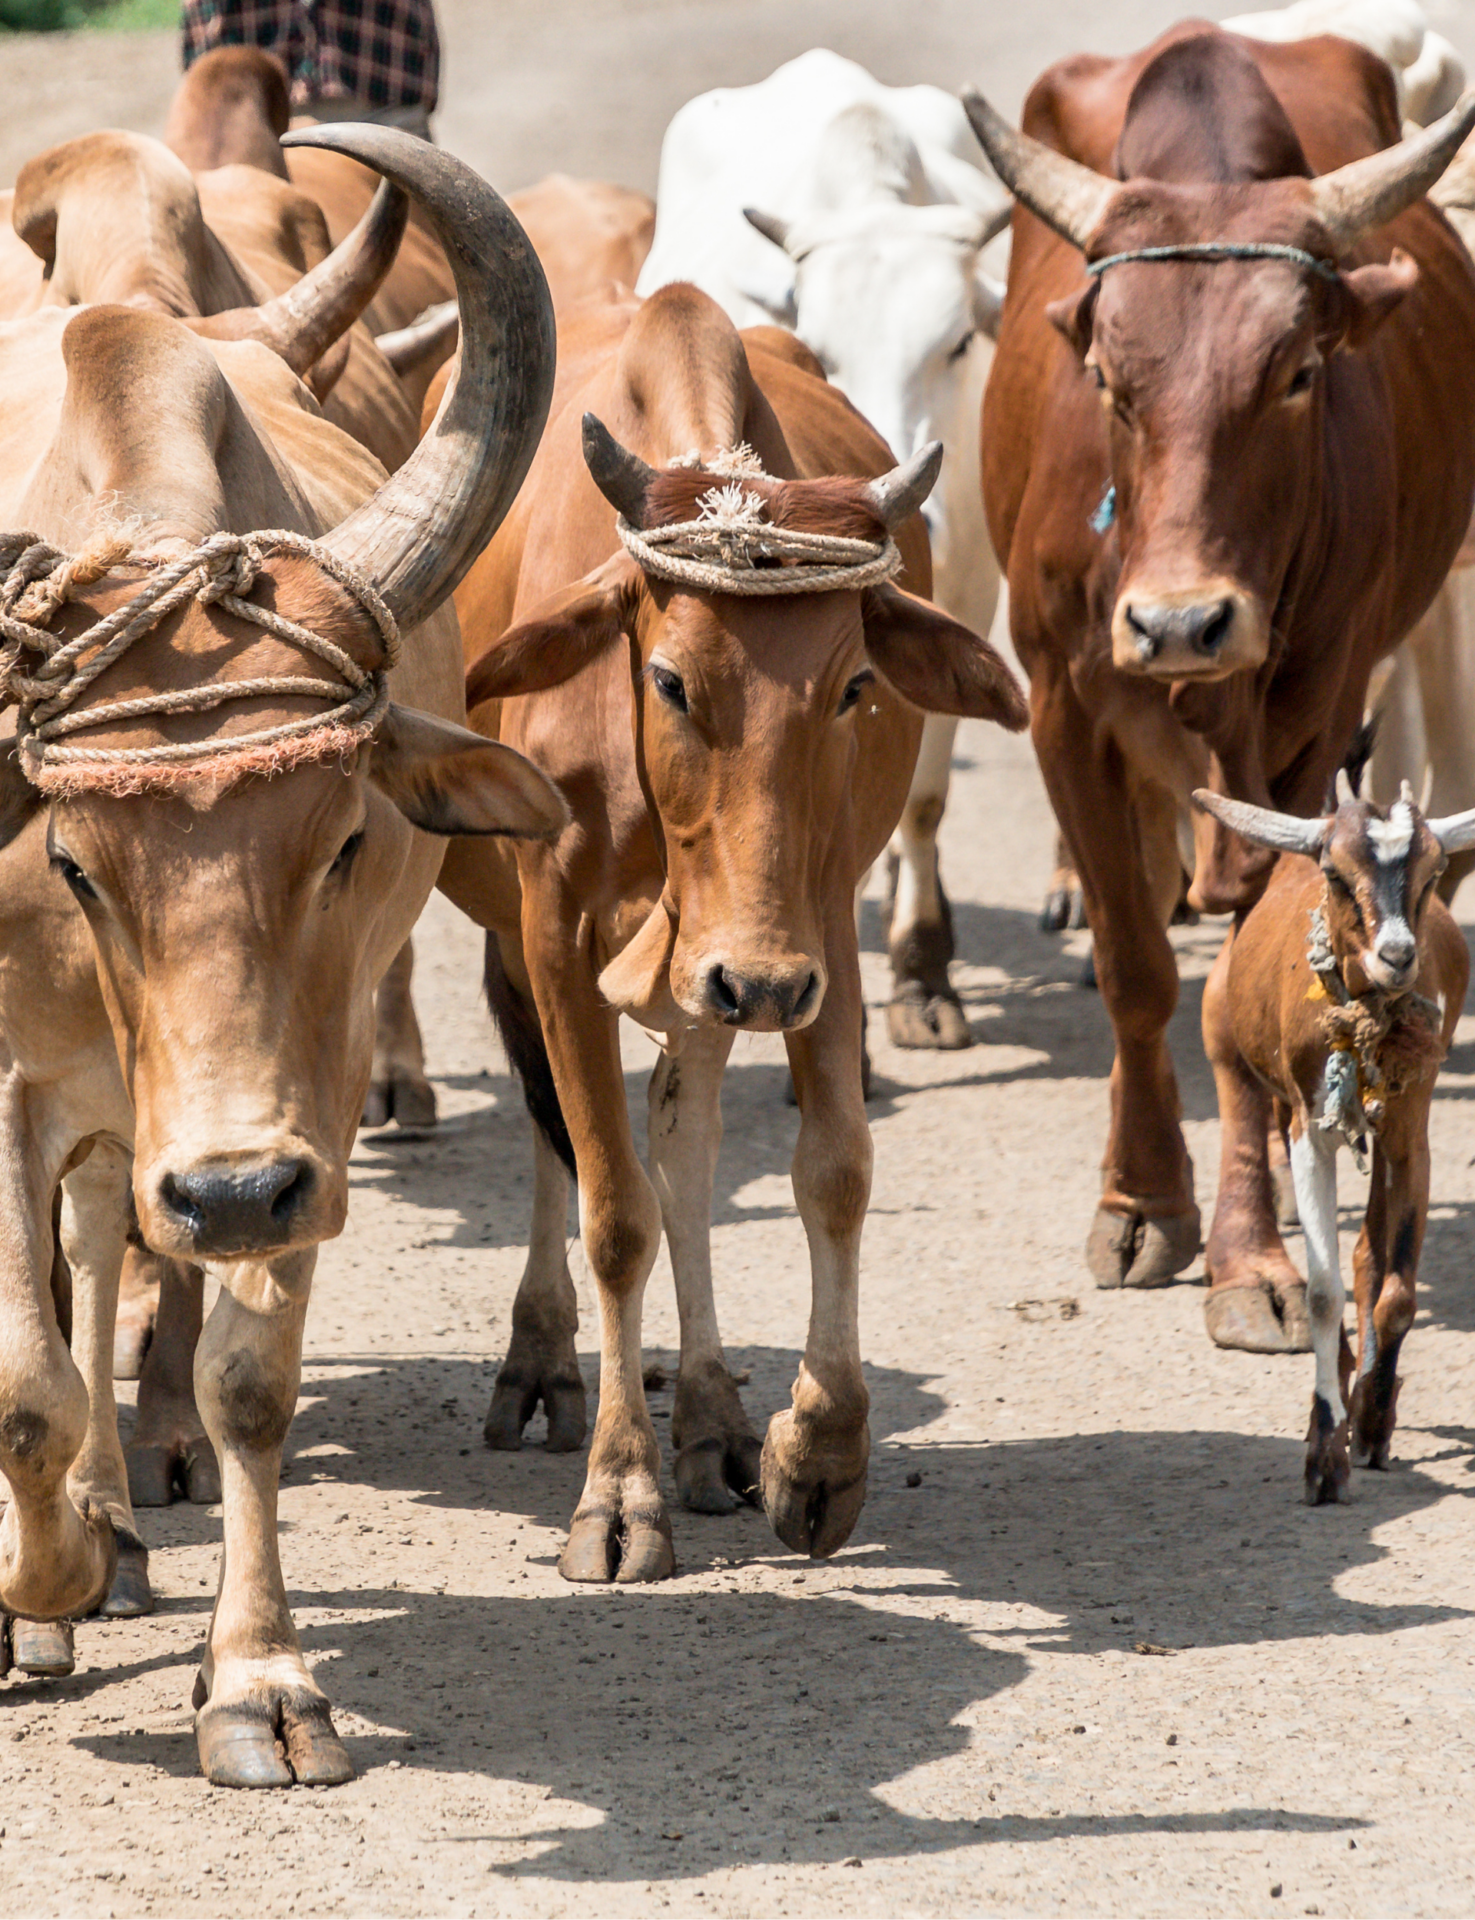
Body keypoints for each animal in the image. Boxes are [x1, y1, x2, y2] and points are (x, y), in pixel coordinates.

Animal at [0, 127, 560, 1781]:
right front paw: (43, 1585)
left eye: (347, 839)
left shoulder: (303, 1093)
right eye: (72, 858)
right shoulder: (13, 1075)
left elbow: (243, 1379)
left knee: (108, 1237)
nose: (235, 1191)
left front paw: (253, 1677)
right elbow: (24, 1387)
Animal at [437, 280, 1029, 1574]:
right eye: (667, 679)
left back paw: (710, 1419)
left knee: (686, 1141)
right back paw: (544, 1363)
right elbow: (611, 1209)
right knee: (558, 1131)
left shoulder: (812, 936)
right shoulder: (556, 934)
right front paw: (619, 1493)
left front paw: (817, 1453)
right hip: (560, 947)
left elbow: (832, 1169)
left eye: (854, 686)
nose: (752, 984)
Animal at [967, 30, 1475, 1351]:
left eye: (1294, 372)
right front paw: (1142, 1200)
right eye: (1105, 374)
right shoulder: (1061, 713)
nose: (1179, 622)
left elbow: (1249, 963)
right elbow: (1136, 971)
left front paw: (1251, 1252)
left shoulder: (1316, 716)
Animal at [1198, 779, 1475, 1497]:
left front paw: (1371, 1421)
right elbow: (1322, 1294)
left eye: (1434, 870)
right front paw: (1324, 1451)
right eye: (1334, 871)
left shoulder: (1410, 1128)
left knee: (1369, 1254)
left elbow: (1396, 1291)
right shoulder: (1307, 1127)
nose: (1397, 956)